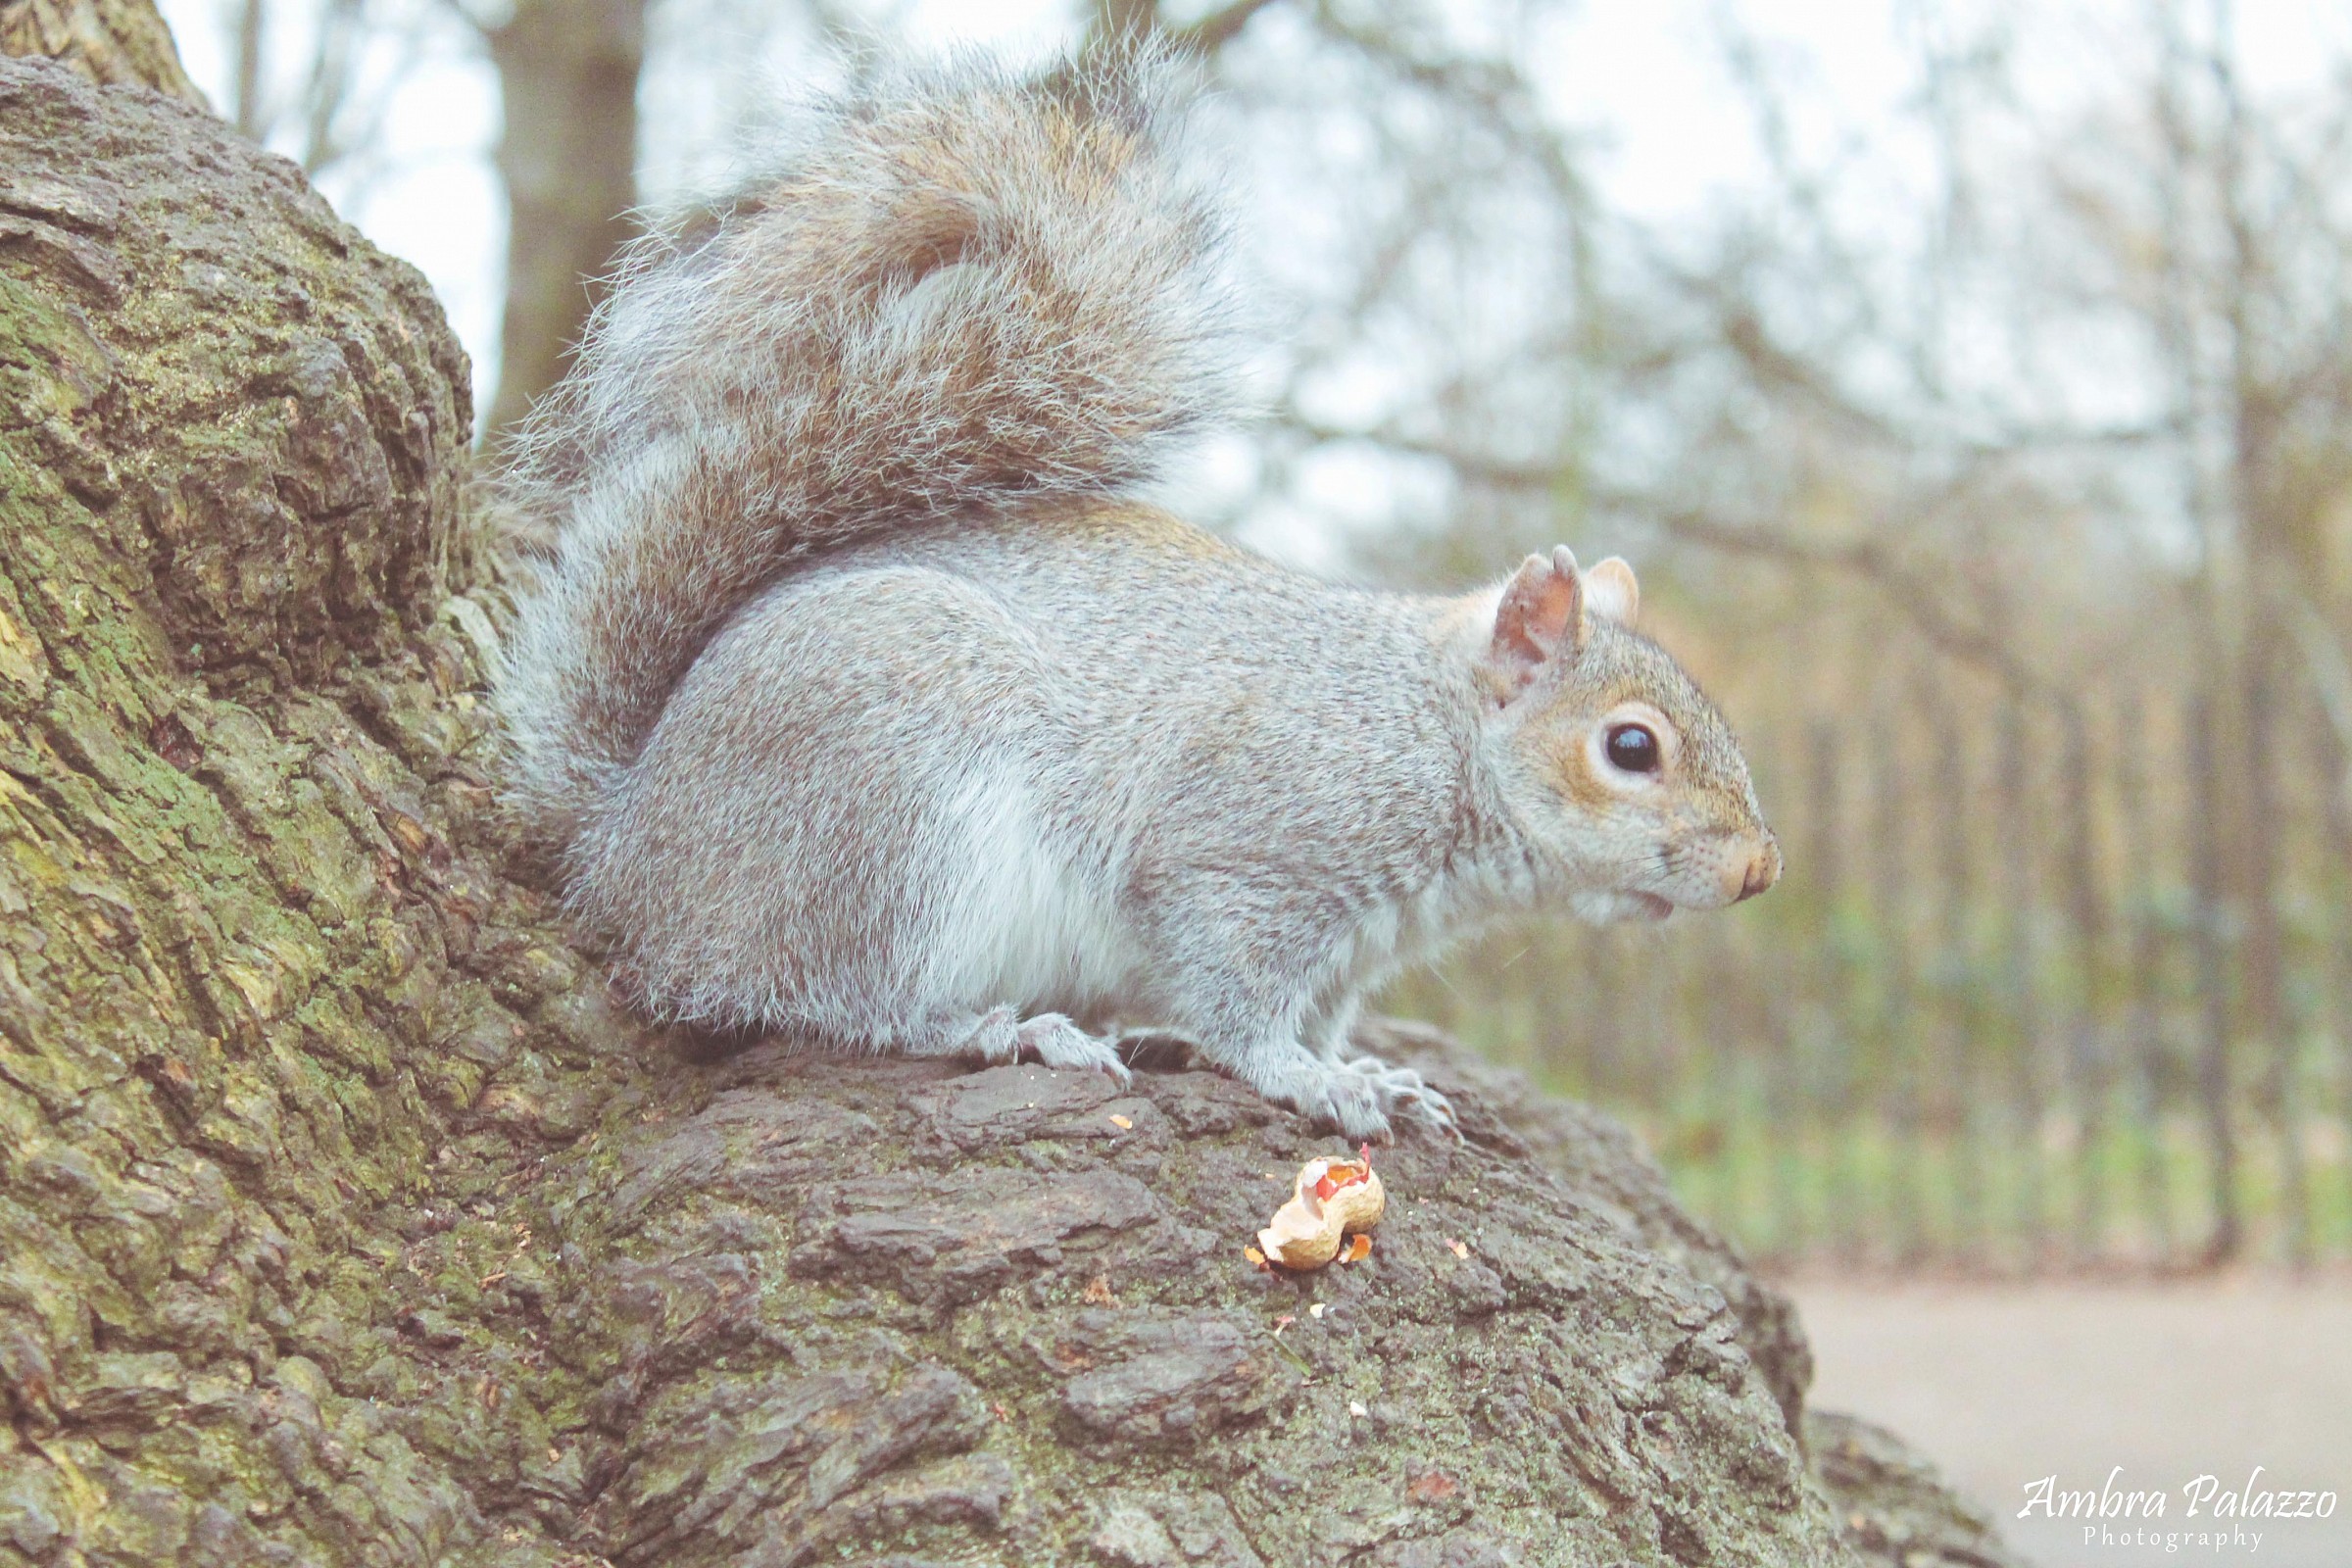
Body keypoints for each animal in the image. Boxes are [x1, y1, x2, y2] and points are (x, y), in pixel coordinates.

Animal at [493, 50, 1781, 1141]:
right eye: (1630, 747)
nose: (1760, 874)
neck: (1425, 731)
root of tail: (627, 849)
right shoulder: (1241, 854)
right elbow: (1235, 998)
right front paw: (1306, 1079)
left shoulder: (1345, 953)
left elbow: (1320, 1012)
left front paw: (1363, 1068)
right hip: (888, 817)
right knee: (848, 997)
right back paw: (1009, 1027)